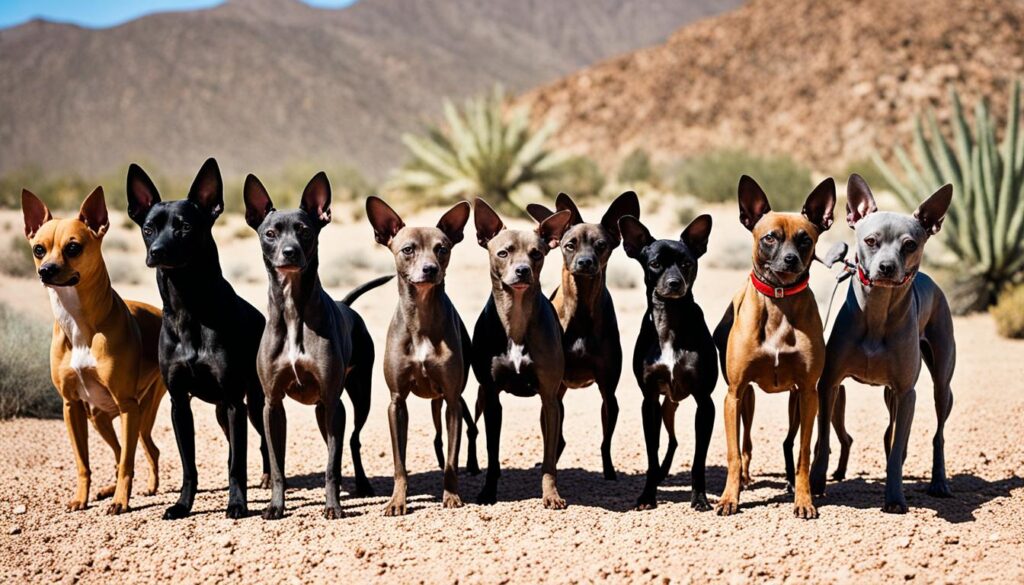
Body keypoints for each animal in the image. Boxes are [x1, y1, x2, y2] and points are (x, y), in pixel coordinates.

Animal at [20, 189, 165, 514]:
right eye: (38, 249)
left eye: (73, 247)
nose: (46, 271)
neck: (77, 322)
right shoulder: (71, 406)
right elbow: (84, 463)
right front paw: (81, 498)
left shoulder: (127, 405)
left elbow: (127, 463)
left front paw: (121, 501)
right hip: (99, 417)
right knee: (121, 453)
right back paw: (110, 490)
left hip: (141, 413)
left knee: (147, 450)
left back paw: (146, 487)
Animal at [125, 157, 270, 520]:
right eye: (148, 228)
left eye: (185, 227)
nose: (158, 251)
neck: (188, 307)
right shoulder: (179, 403)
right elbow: (189, 465)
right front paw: (182, 505)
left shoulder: (234, 402)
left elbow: (238, 464)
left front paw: (237, 504)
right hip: (221, 412)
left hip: (253, 403)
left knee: (263, 442)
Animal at [528, 192, 638, 481]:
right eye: (570, 245)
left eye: (601, 245)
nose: (585, 262)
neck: (581, 310)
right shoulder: (551, 390)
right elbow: (553, 438)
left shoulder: (608, 391)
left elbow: (605, 443)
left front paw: (609, 472)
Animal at [614, 213, 720, 510]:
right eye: (655, 264)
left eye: (687, 264)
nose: (674, 283)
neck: (671, 321)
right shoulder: (649, 402)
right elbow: (652, 453)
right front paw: (647, 496)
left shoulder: (705, 403)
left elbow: (698, 461)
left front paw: (699, 498)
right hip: (665, 406)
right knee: (670, 441)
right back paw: (661, 474)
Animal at [712, 174, 839, 516]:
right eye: (770, 238)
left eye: (805, 239)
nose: (790, 259)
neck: (779, 301)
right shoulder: (734, 394)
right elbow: (732, 453)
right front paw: (729, 498)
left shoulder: (808, 392)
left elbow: (805, 453)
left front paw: (804, 500)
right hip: (746, 399)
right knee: (745, 444)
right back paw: (743, 480)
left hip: (796, 400)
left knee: (788, 442)